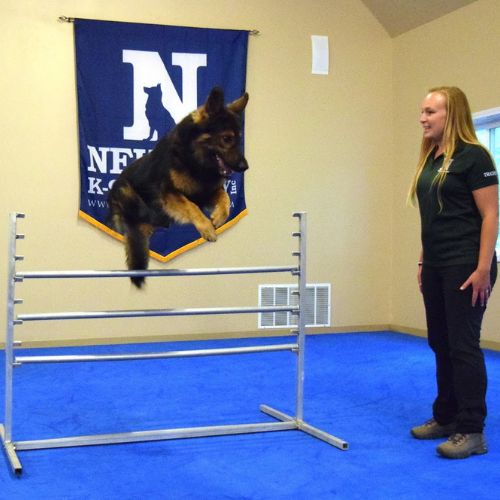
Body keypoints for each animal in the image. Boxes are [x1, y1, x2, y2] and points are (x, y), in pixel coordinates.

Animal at [109, 88, 250, 288]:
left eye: (238, 139)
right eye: (226, 138)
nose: (245, 167)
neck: (195, 161)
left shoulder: (206, 191)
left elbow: (225, 198)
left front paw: (219, 217)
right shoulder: (169, 193)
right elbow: (191, 207)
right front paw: (207, 228)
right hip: (128, 194)